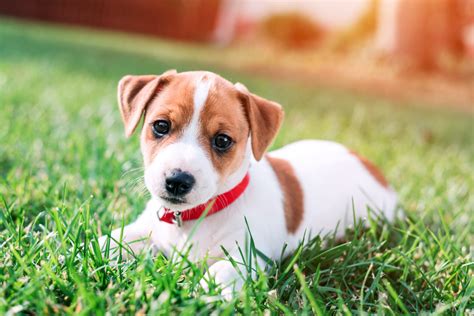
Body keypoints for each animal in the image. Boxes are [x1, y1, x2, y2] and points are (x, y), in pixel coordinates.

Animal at [101, 68, 400, 296]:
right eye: (161, 126)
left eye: (222, 140)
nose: (177, 181)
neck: (195, 217)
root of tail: (370, 166)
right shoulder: (146, 229)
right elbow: (112, 239)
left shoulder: (247, 255)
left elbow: (219, 272)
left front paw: (201, 297)